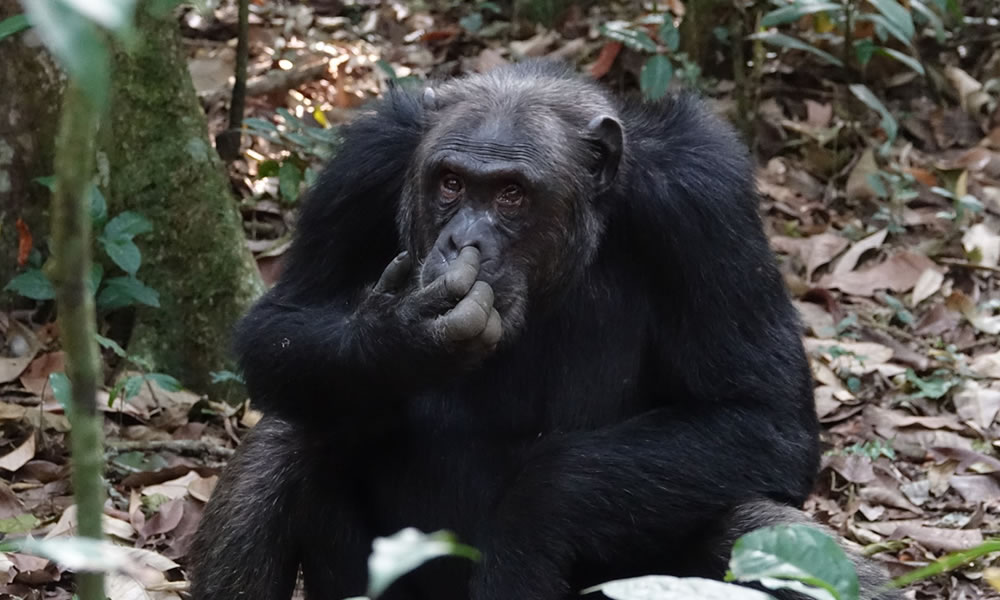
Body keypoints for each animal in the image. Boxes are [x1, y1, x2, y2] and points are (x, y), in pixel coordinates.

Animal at [188, 61, 900, 600]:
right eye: (451, 183)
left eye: (510, 194)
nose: (462, 241)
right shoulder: (361, 167)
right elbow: (279, 326)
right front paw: (403, 338)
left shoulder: (707, 199)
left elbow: (762, 416)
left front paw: (527, 529)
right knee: (291, 433)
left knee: (764, 528)